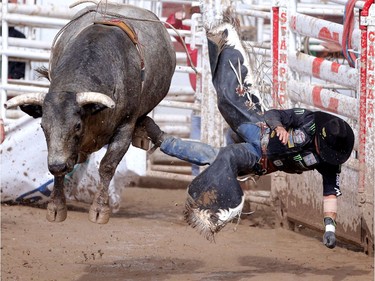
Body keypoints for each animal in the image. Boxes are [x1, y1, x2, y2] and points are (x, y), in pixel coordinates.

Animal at [5, 2, 176, 223]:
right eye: (43, 126)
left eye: (77, 125)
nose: (57, 165)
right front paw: (56, 206)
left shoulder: (125, 127)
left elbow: (107, 166)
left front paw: (100, 209)